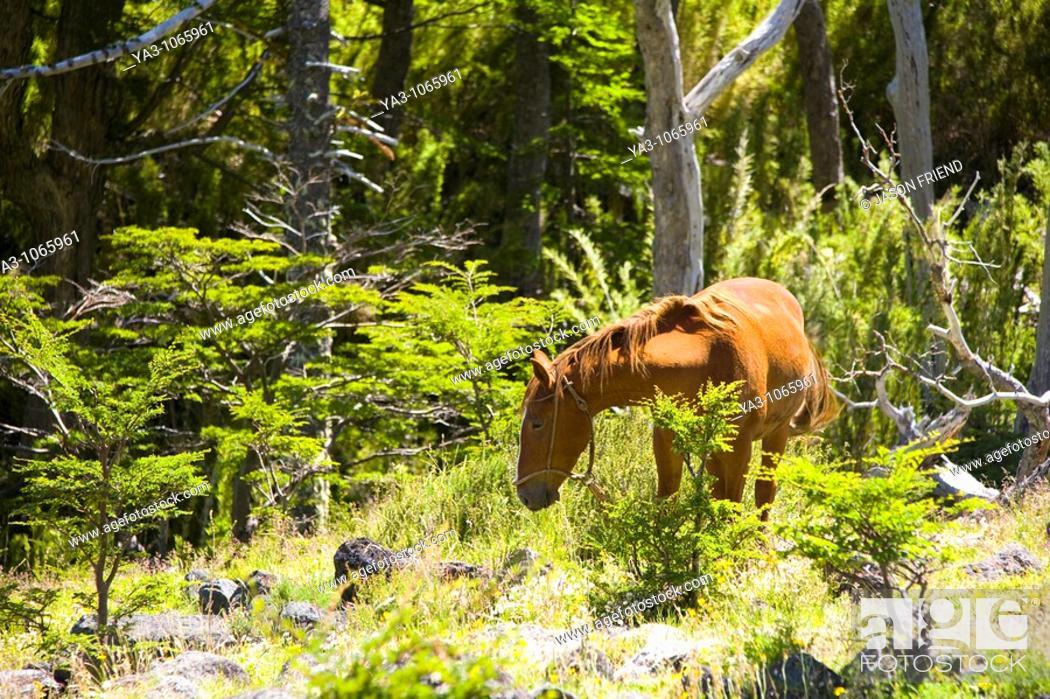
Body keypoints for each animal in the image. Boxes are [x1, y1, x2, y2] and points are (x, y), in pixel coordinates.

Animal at [514, 277, 835, 516]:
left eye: (537, 423)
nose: (524, 494)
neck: (707, 359)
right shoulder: (666, 438)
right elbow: (669, 498)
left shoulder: (738, 447)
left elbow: (732, 508)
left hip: (776, 434)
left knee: (764, 492)